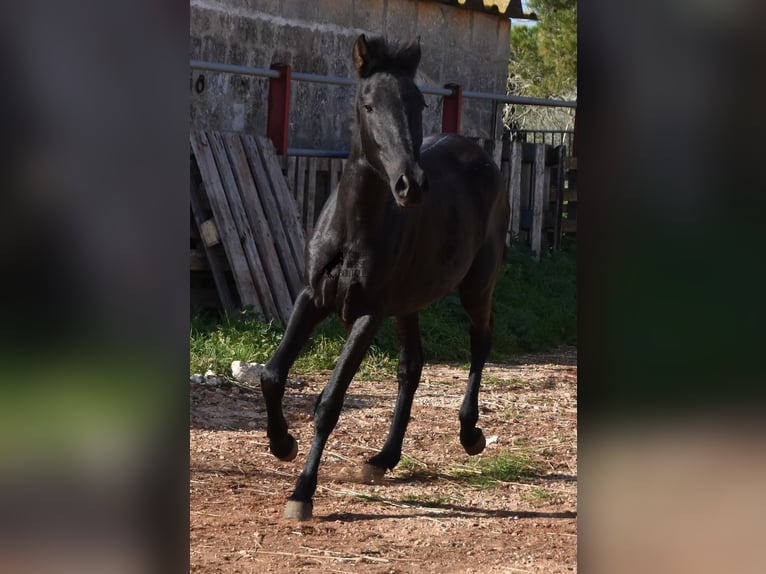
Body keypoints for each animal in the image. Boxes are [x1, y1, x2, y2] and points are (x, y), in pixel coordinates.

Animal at [260, 36, 512, 520]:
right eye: (368, 104)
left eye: (418, 103)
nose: (410, 185)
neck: (352, 229)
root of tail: (482, 157)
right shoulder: (312, 297)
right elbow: (272, 374)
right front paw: (282, 445)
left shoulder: (368, 313)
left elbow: (329, 402)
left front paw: (302, 492)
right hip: (408, 302)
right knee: (411, 366)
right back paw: (383, 458)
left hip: (476, 285)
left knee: (482, 339)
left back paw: (470, 433)